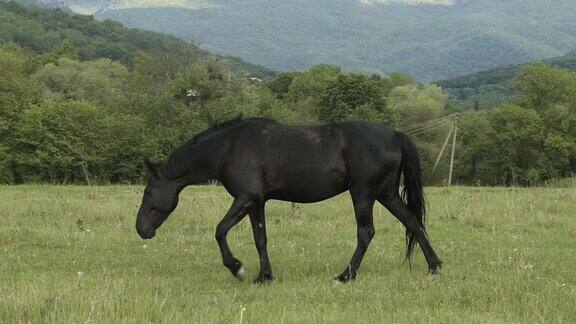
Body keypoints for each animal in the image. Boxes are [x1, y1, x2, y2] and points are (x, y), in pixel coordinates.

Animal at [135, 117, 440, 282]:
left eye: (148, 192)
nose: (141, 229)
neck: (229, 148)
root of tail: (394, 135)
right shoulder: (256, 202)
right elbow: (260, 239)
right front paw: (264, 276)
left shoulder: (246, 198)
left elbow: (220, 230)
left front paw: (237, 268)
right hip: (386, 194)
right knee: (413, 223)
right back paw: (434, 266)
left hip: (363, 195)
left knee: (366, 232)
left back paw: (346, 275)